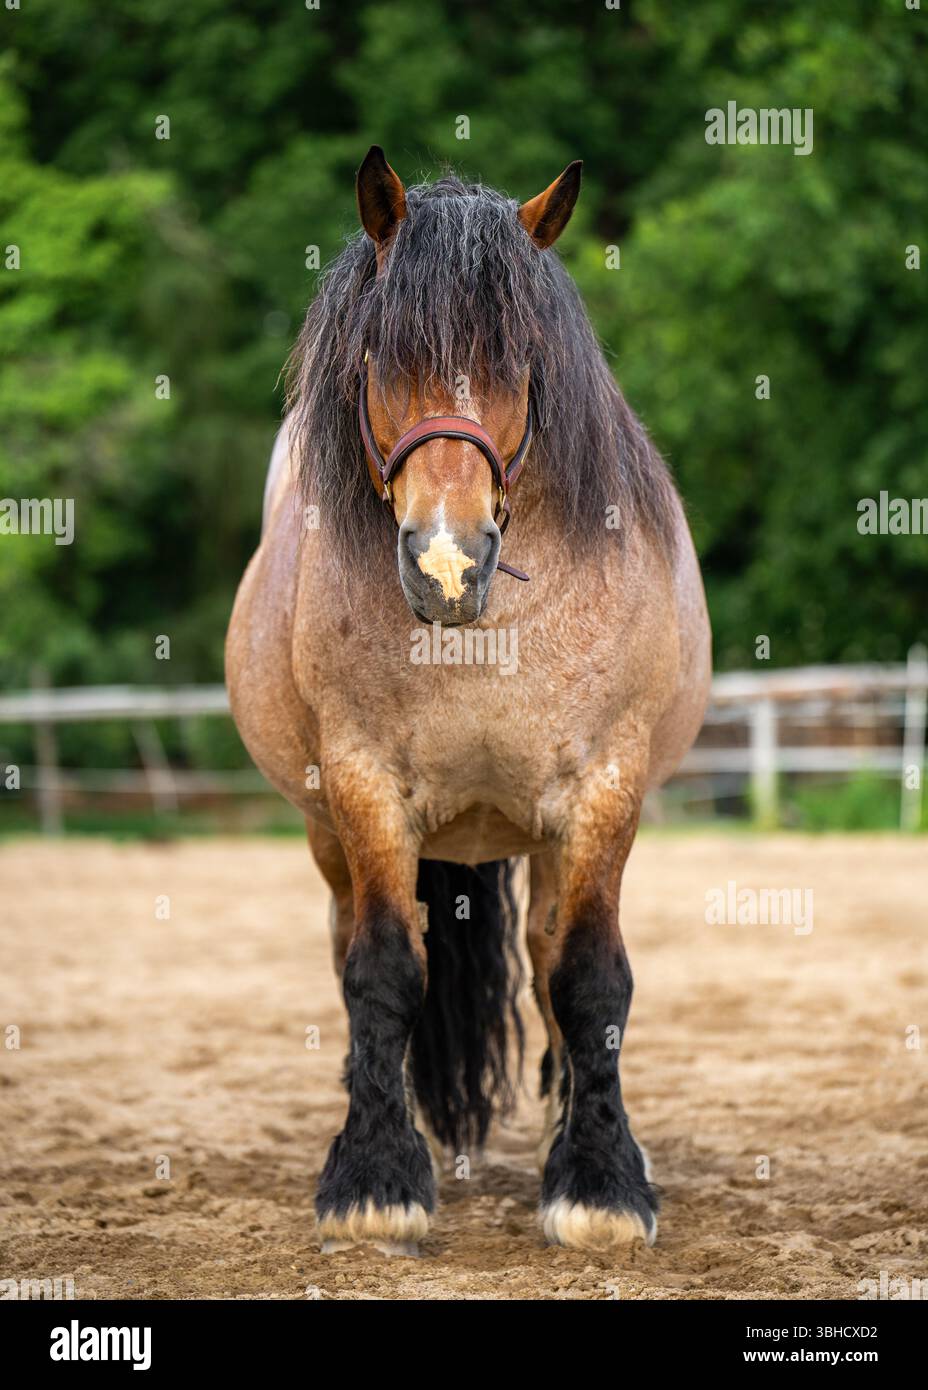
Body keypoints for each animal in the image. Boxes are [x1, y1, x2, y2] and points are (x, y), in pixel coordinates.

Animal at [226, 147, 711, 1255]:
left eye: (521, 364)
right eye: (378, 359)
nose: (447, 566)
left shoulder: (603, 787)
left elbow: (588, 976)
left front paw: (600, 1182)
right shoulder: (362, 787)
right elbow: (381, 970)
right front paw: (373, 1176)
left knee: (546, 956)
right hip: (329, 832)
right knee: (352, 945)